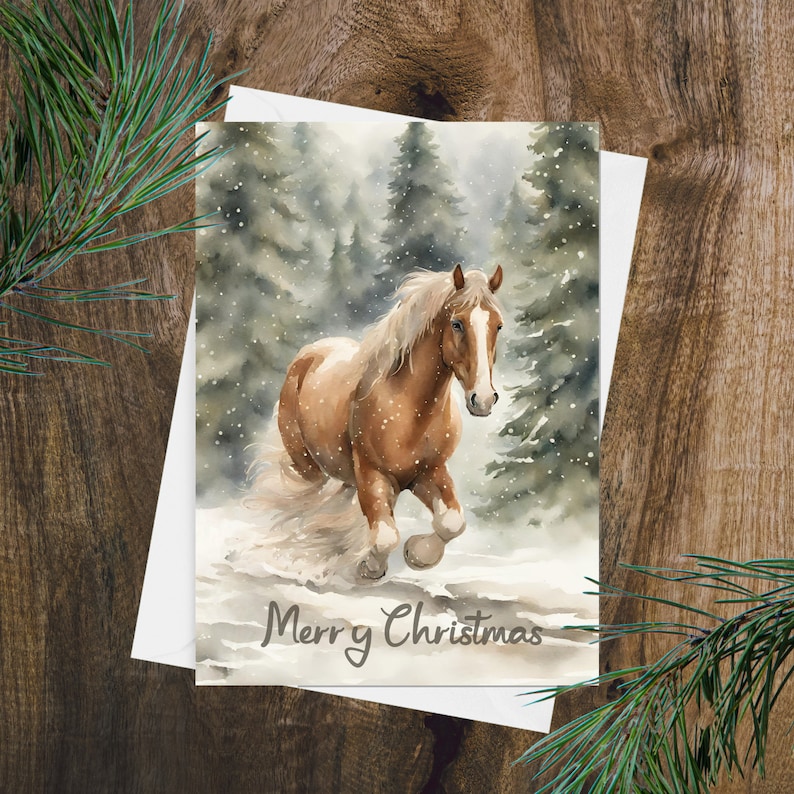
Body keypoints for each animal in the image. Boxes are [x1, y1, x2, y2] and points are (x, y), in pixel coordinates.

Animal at [248, 263, 503, 583]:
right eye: (457, 324)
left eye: (498, 326)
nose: (483, 399)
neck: (409, 412)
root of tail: (311, 352)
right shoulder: (373, 475)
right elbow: (385, 536)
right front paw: (371, 567)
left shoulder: (429, 472)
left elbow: (452, 522)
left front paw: (417, 555)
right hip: (308, 466)